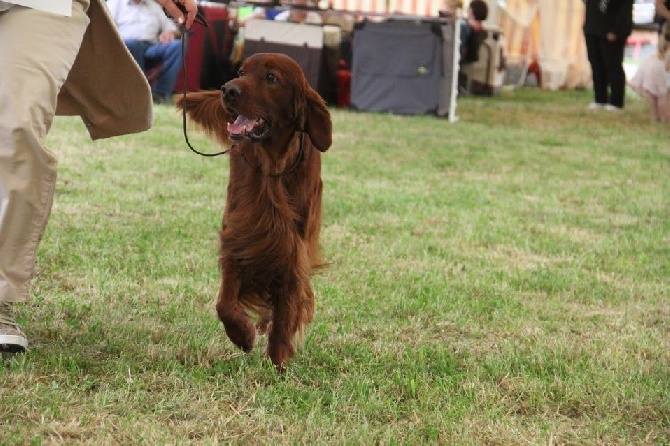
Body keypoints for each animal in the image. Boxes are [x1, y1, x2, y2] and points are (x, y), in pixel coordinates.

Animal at [176, 54, 334, 372]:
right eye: (241, 71)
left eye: (271, 77)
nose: (227, 90)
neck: (272, 166)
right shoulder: (239, 233)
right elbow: (224, 301)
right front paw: (242, 334)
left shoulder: (292, 246)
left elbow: (288, 304)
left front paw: (278, 357)